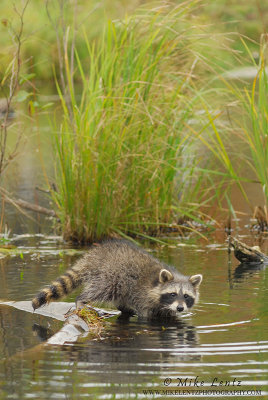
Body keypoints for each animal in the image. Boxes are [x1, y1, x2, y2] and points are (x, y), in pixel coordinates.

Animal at [31, 241, 202, 318]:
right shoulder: (143, 296)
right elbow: (145, 315)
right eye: (173, 294)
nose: (180, 308)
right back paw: (81, 300)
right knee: (100, 290)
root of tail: (95, 254)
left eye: (186, 296)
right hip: (110, 276)